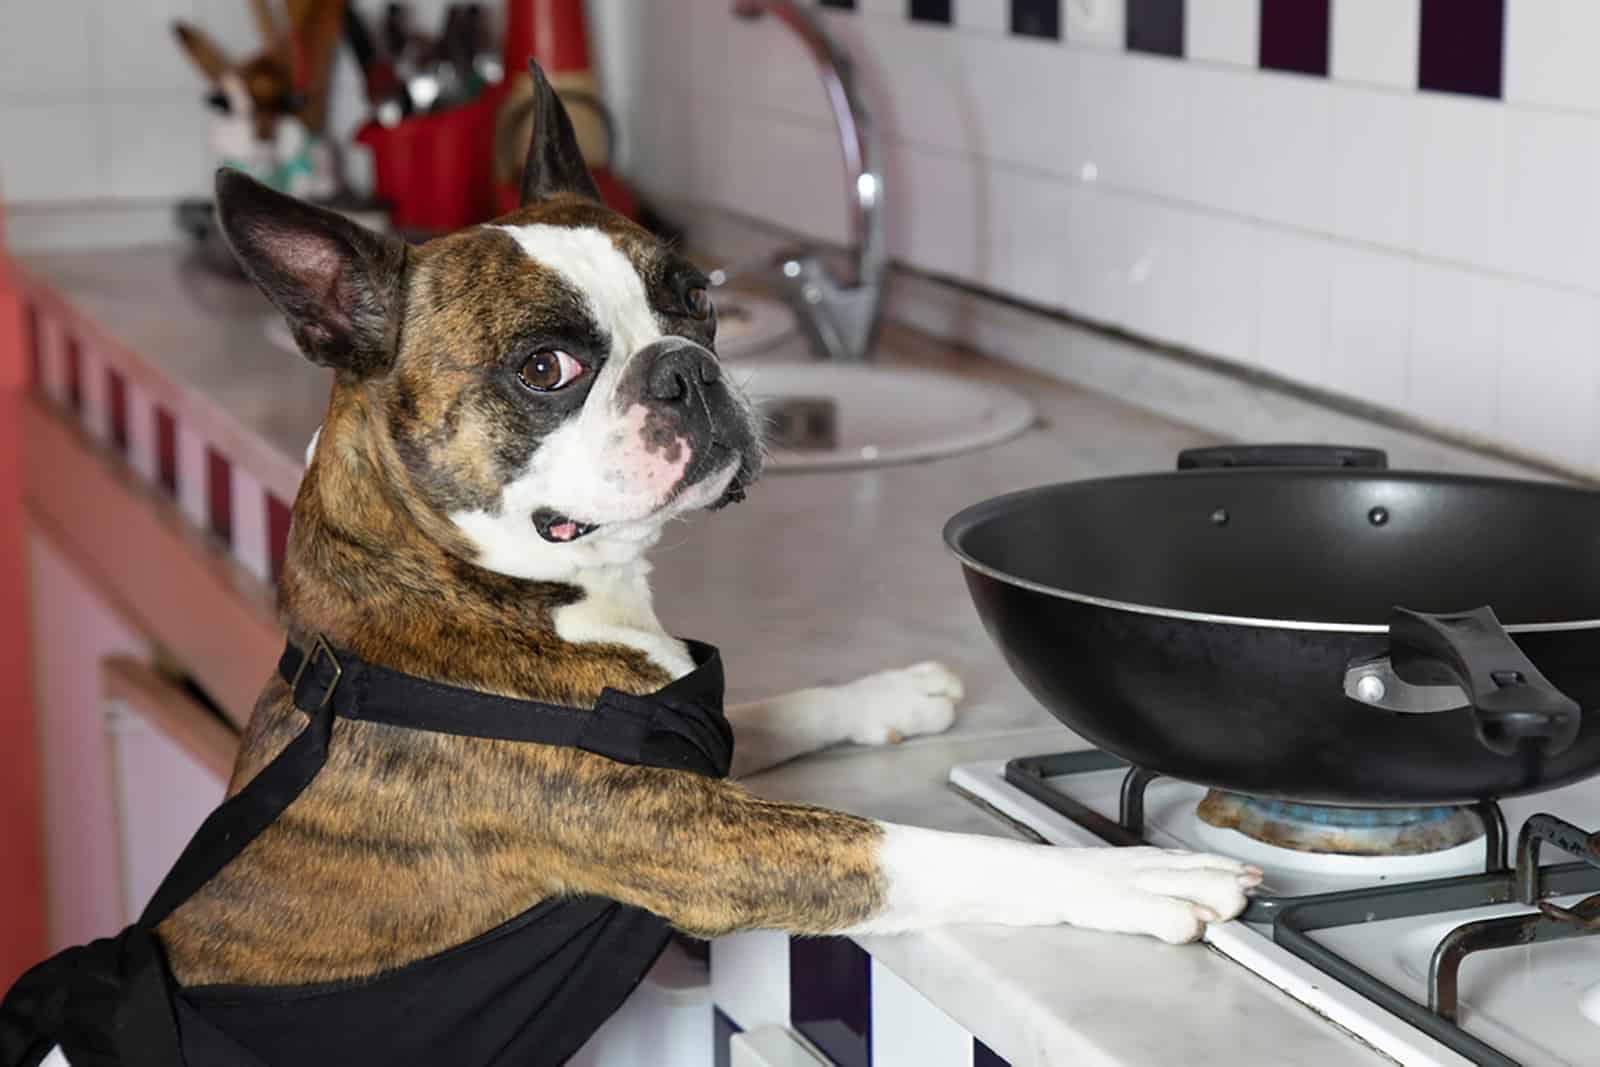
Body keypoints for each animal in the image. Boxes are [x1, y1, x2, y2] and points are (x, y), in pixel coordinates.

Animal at [0, 64, 1260, 1067]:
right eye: (546, 366)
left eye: (696, 301)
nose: (685, 369)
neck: (466, 583)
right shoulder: (700, 843)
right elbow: (908, 846)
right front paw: (1136, 880)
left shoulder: (687, 749)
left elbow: (770, 702)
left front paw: (891, 691)